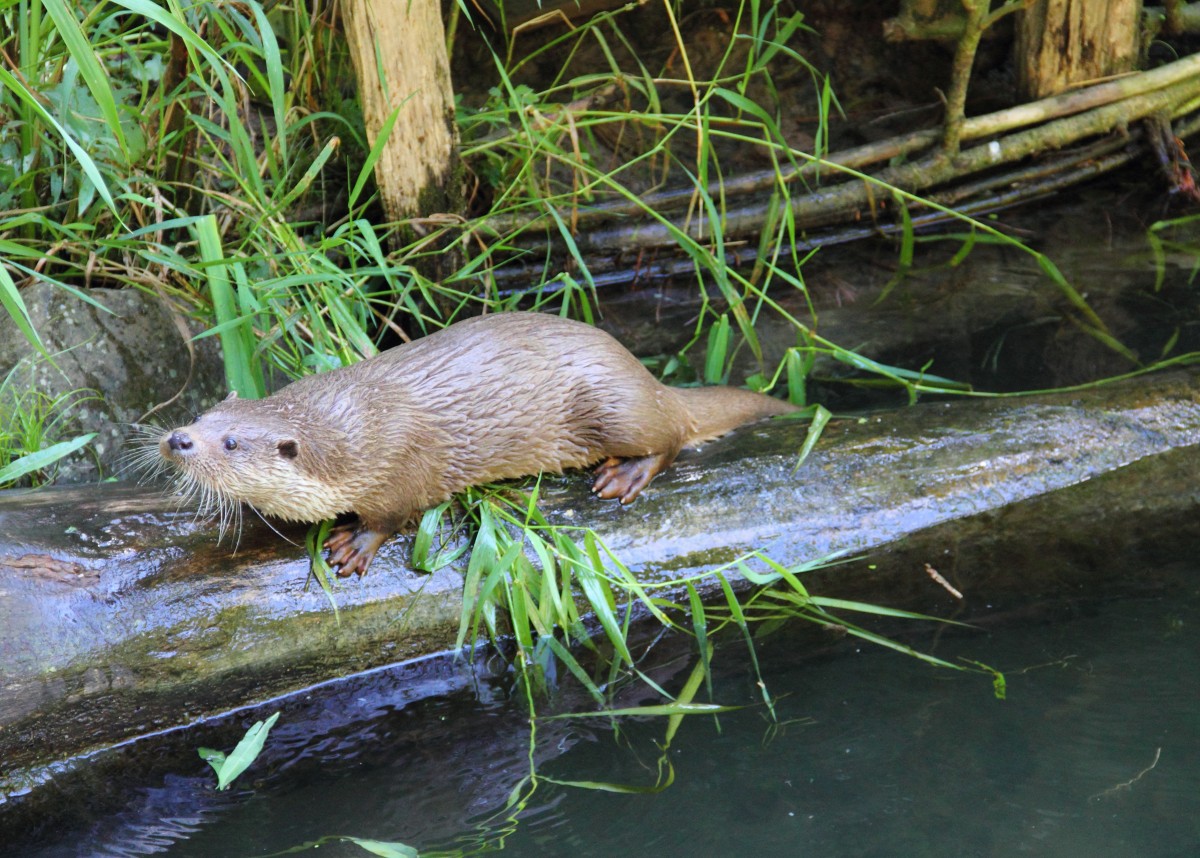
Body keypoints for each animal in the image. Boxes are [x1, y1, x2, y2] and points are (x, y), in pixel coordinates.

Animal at [159, 309, 796, 578]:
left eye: (231, 442)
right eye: (202, 414)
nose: (178, 439)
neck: (352, 432)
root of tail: (642, 374)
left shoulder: (398, 465)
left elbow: (394, 513)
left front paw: (355, 544)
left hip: (612, 403)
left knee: (669, 435)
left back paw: (625, 475)